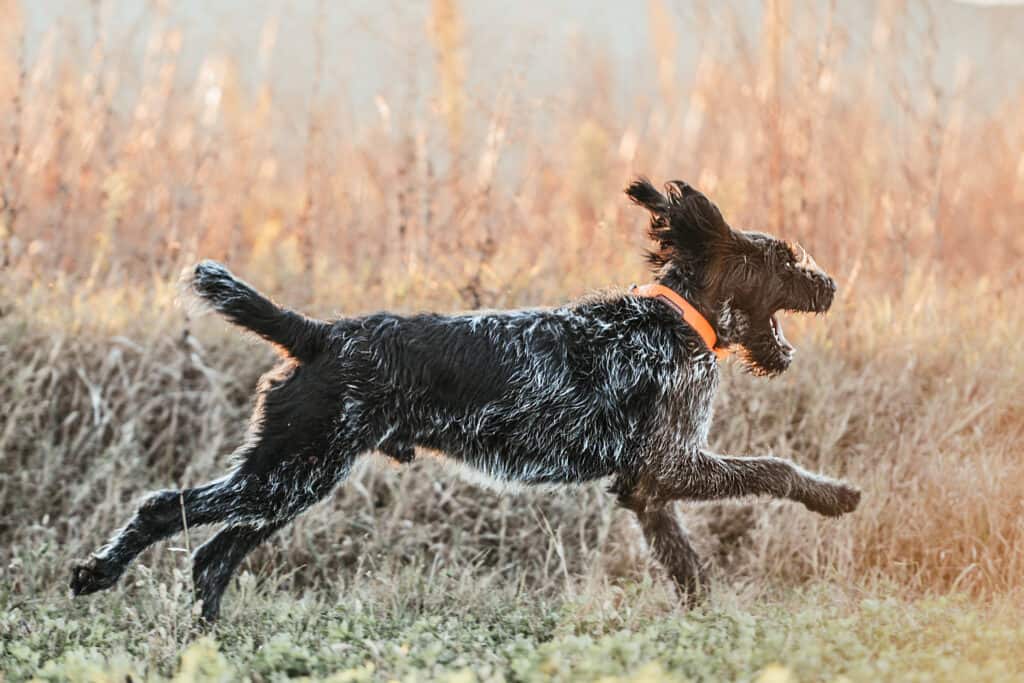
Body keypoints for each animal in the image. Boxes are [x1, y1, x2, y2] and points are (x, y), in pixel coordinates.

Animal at [68, 179, 860, 622]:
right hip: (288, 470)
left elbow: (686, 565)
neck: (671, 318)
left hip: (292, 477)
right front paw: (833, 496)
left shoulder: (646, 485)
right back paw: (98, 573)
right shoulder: (672, 464)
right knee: (163, 509)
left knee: (213, 554)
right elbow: (774, 469)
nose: (831, 285)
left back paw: (208, 637)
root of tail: (319, 334)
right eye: (784, 259)